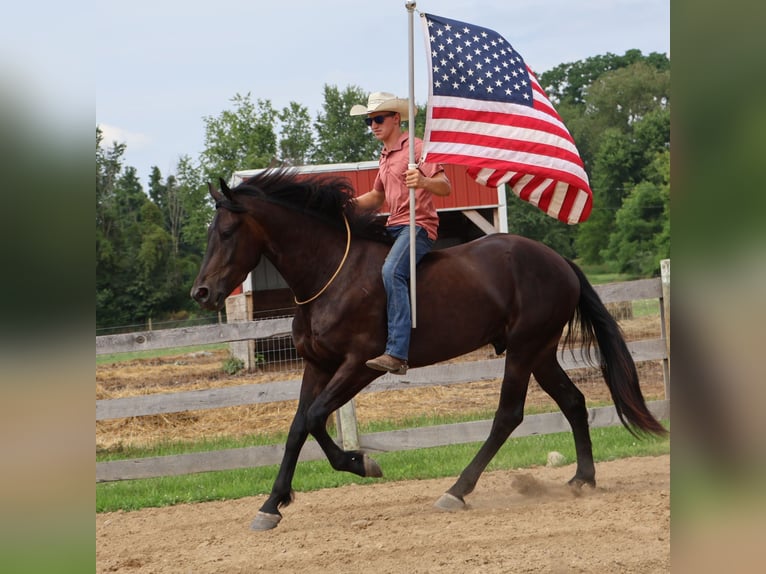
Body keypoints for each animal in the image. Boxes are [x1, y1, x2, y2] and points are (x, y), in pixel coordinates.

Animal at [191, 169, 666, 531]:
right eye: (211, 232)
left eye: (228, 231)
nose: (202, 293)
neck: (332, 275)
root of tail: (557, 260)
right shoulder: (318, 366)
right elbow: (297, 428)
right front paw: (271, 505)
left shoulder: (361, 365)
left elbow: (314, 418)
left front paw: (362, 463)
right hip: (541, 352)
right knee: (573, 401)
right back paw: (582, 479)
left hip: (523, 350)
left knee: (508, 416)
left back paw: (457, 491)